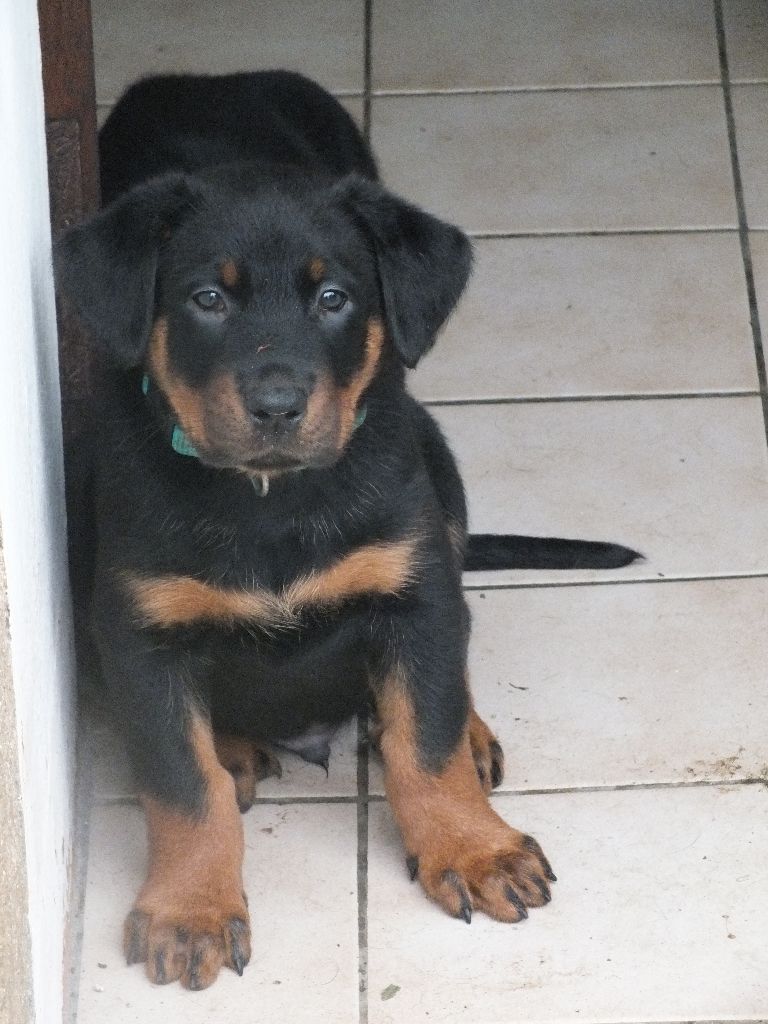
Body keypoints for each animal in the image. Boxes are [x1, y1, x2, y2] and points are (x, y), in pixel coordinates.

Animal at [56, 71, 639, 991]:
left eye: (334, 299)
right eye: (207, 299)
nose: (276, 406)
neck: (270, 499)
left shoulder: (413, 589)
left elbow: (425, 736)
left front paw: (471, 848)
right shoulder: (140, 636)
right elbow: (182, 785)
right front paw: (190, 909)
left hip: (443, 481)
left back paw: (469, 734)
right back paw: (235, 744)